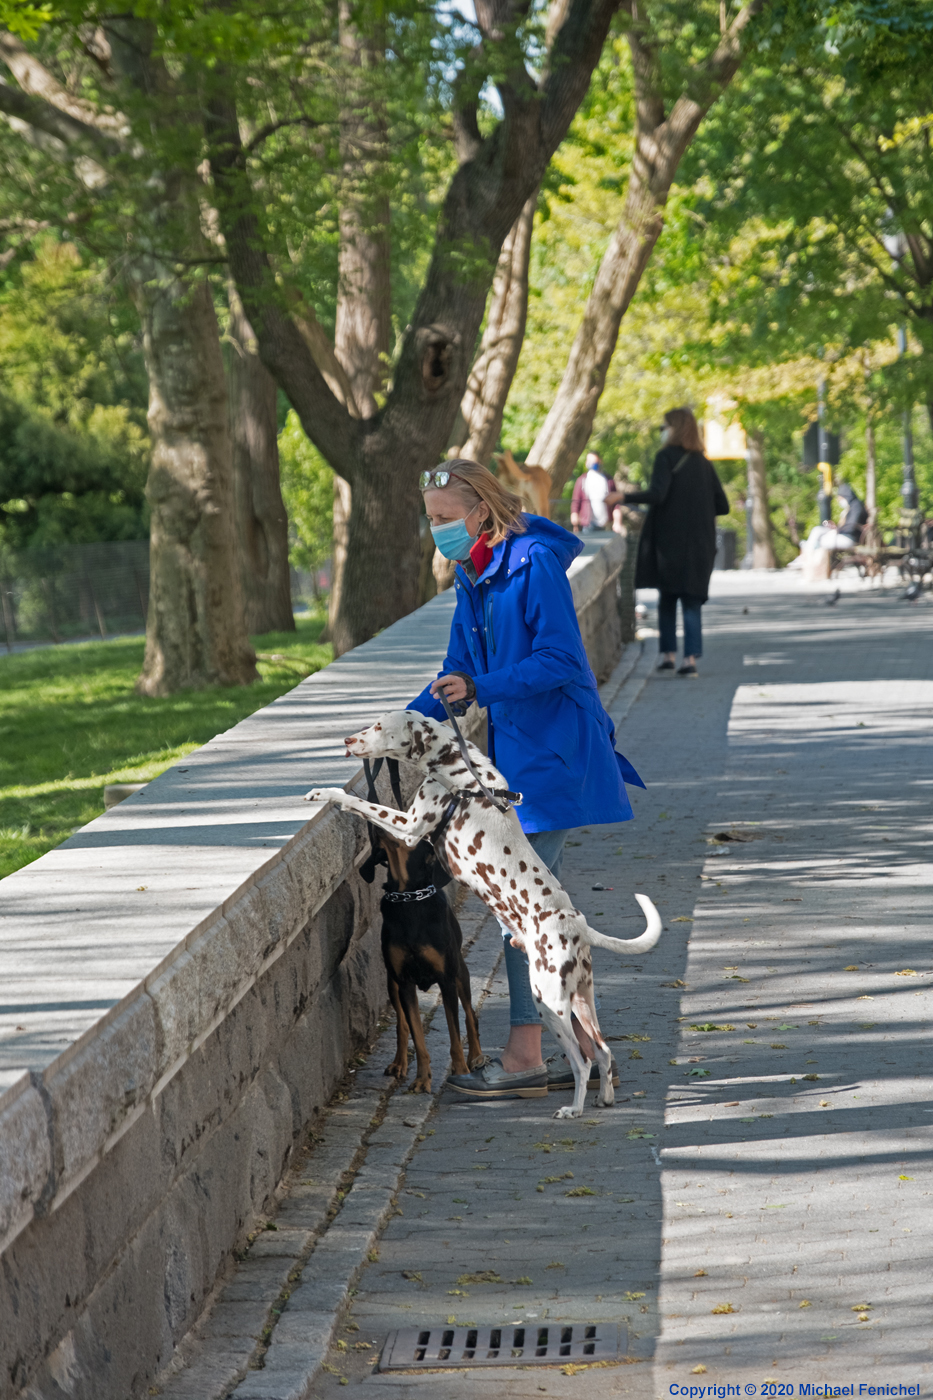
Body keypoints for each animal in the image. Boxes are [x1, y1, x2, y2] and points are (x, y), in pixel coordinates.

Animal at [358, 761, 481, 1086]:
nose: (380, 815)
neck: (408, 898)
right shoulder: (404, 981)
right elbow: (416, 1033)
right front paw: (423, 1078)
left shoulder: (447, 978)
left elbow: (454, 1032)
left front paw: (460, 1070)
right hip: (392, 984)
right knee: (402, 1025)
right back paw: (399, 1063)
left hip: (461, 973)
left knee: (470, 1015)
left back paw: (477, 1057)